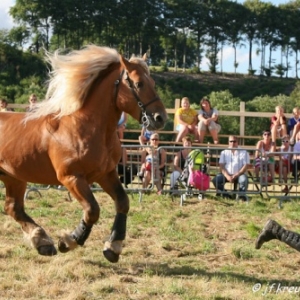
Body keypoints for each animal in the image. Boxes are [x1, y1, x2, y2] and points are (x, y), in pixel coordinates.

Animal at [0, 45, 168, 262]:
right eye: (139, 84)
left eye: (153, 83)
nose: (160, 118)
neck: (86, 128)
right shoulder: (71, 178)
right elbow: (92, 210)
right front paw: (69, 241)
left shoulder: (106, 174)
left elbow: (123, 202)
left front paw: (113, 246)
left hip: (14, 177)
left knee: (13, 208)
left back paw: (42, 242)